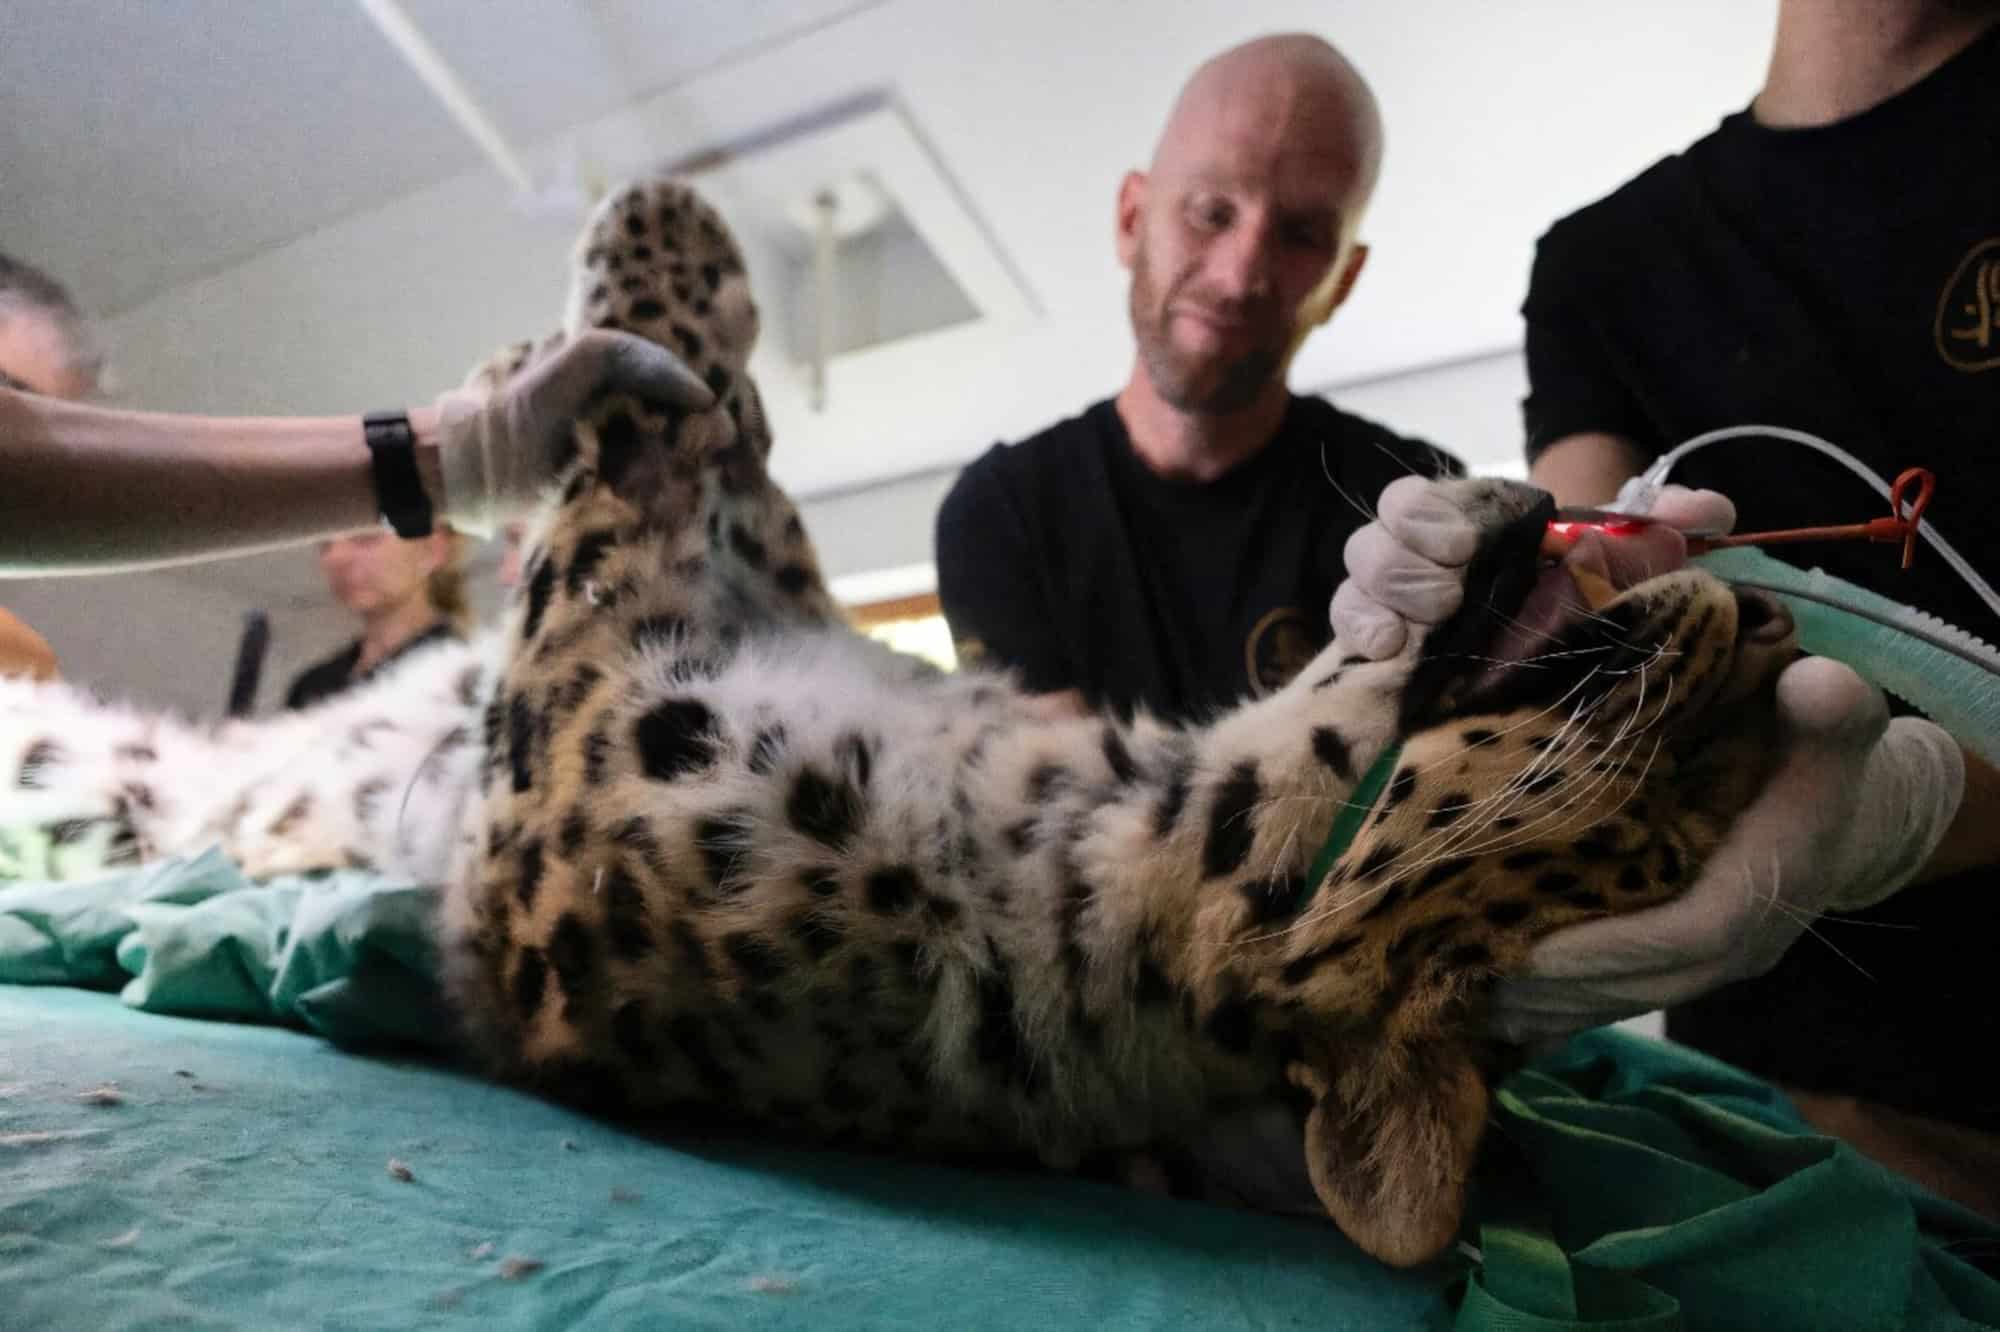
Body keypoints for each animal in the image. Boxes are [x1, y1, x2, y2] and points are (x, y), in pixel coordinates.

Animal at [0, 176, 1800, 1269]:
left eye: (1651, 824)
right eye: (1707, 776)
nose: (1773, 626)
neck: (1108, 816)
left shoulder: (571, 725)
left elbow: (638, 458)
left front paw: (653, 263)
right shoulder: (792, 621)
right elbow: (731, 464)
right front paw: (564, 360)